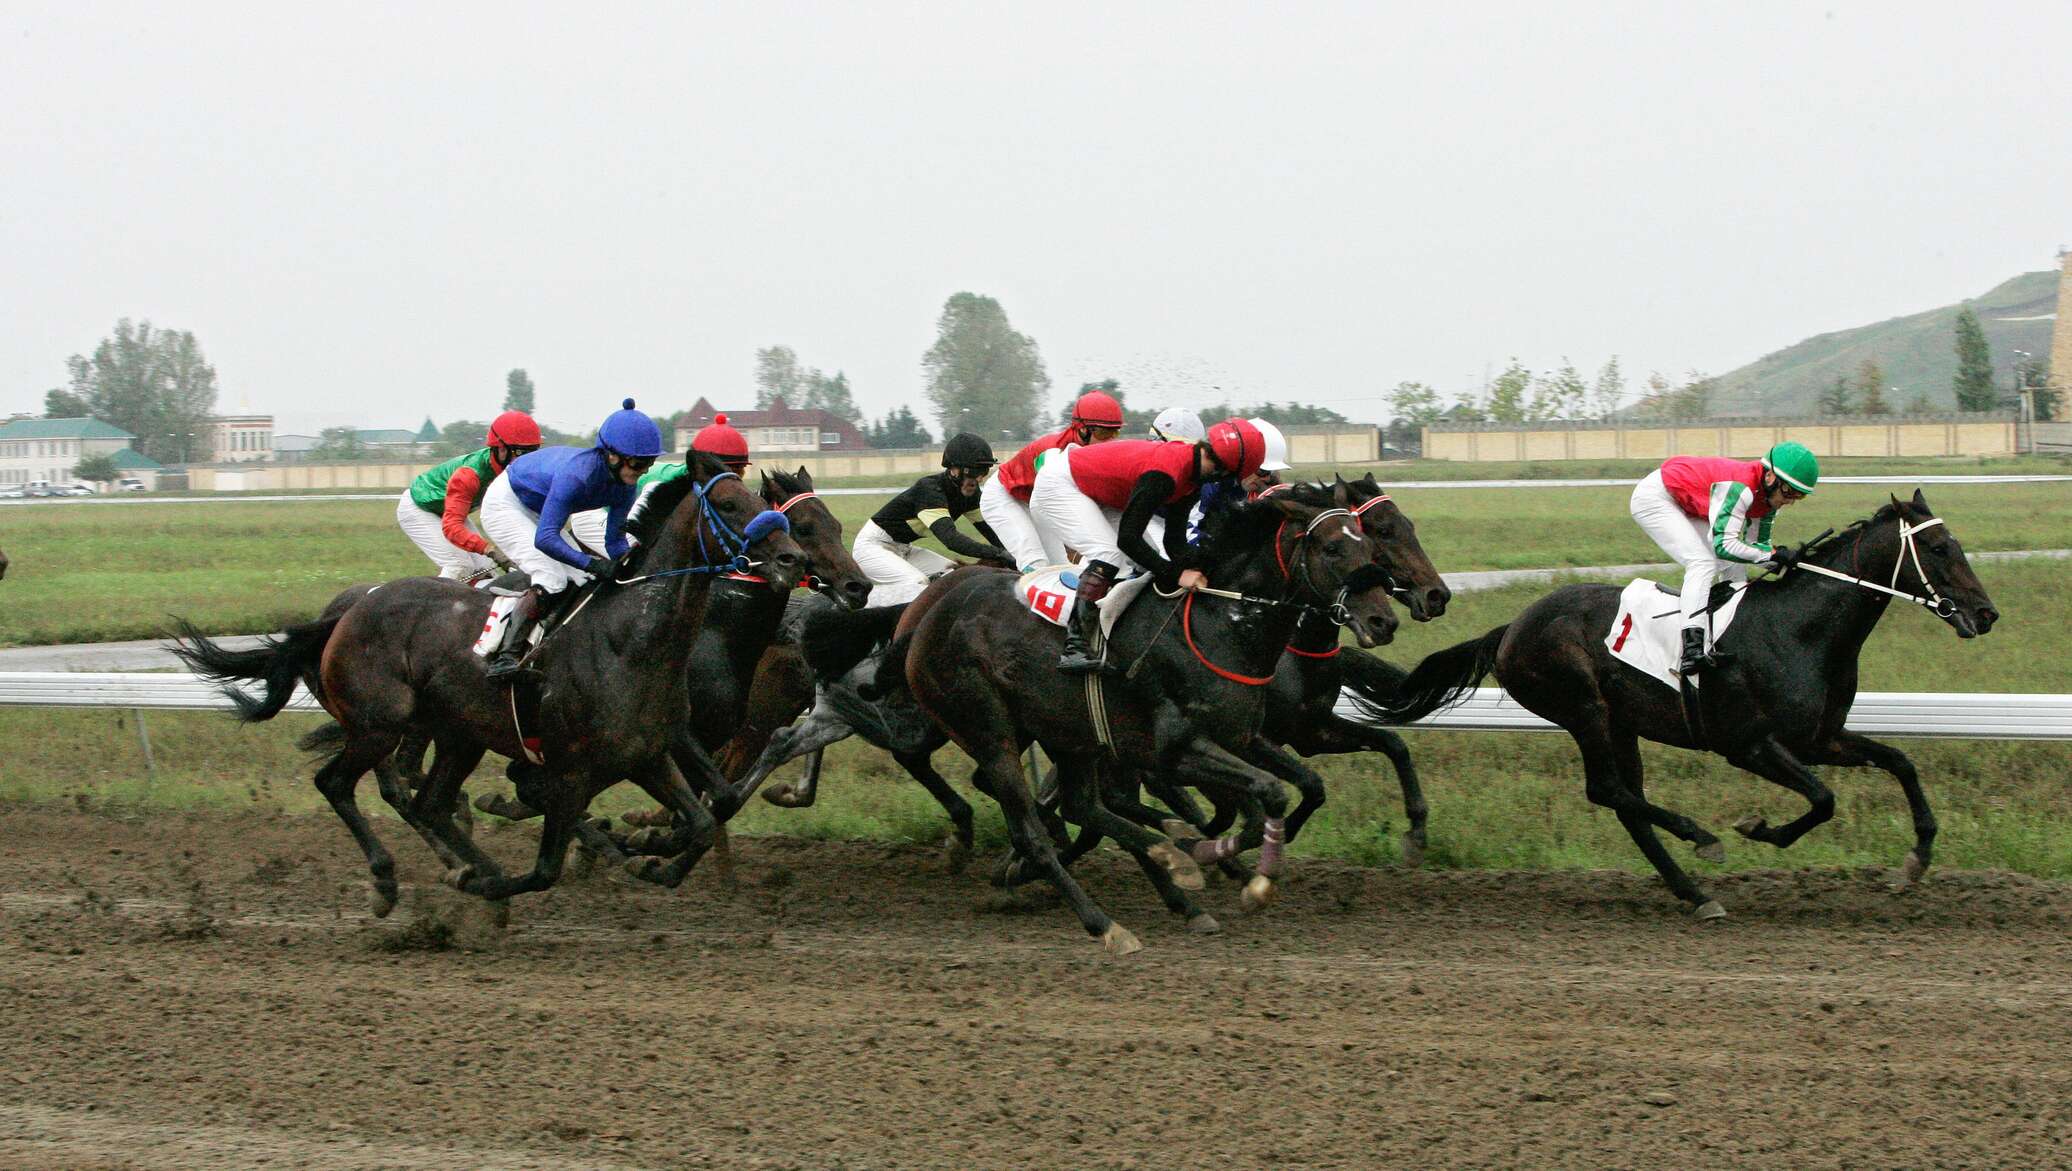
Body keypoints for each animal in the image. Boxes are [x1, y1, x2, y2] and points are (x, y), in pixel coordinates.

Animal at [174, 455, 803, 911]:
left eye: (765, 502)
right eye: (729, 503)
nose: (792, 559)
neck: (630, 639)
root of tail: (348, 612)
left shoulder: (647, 751)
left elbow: (705, 816)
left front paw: (651, 855)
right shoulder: (570, 769)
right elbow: (547, 865)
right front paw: (498, 883)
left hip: (458, 735)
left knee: (427, 802)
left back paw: (466, 864)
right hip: (380, 726)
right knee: (340, 784)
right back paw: (395, 881)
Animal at [1367, 489, 1997, 916]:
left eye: (1957, 543)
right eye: (1938, 548)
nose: (1986, 613)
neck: (1801, 629)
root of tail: (1511, 627)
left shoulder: (1820, 738)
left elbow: (1900, 762)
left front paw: (1916, 860)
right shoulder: (1749, 745)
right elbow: (1823, 800)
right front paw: (1757, 829)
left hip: (1621, 722)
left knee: (1627, 803)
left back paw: (1694, 893)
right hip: (1584, 710)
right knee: (1607, 789)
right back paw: (1702, 840)